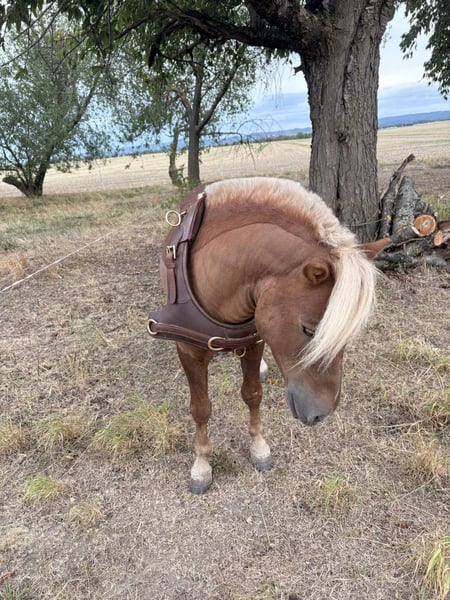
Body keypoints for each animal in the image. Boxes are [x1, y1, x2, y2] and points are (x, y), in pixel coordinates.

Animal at [148, 177, 389, 494]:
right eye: (308, 330)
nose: (322, 413)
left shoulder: (255, 341)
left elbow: (252, 394)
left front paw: (259, 447)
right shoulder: (189, 352)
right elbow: (200, 408)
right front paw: (201, 467)